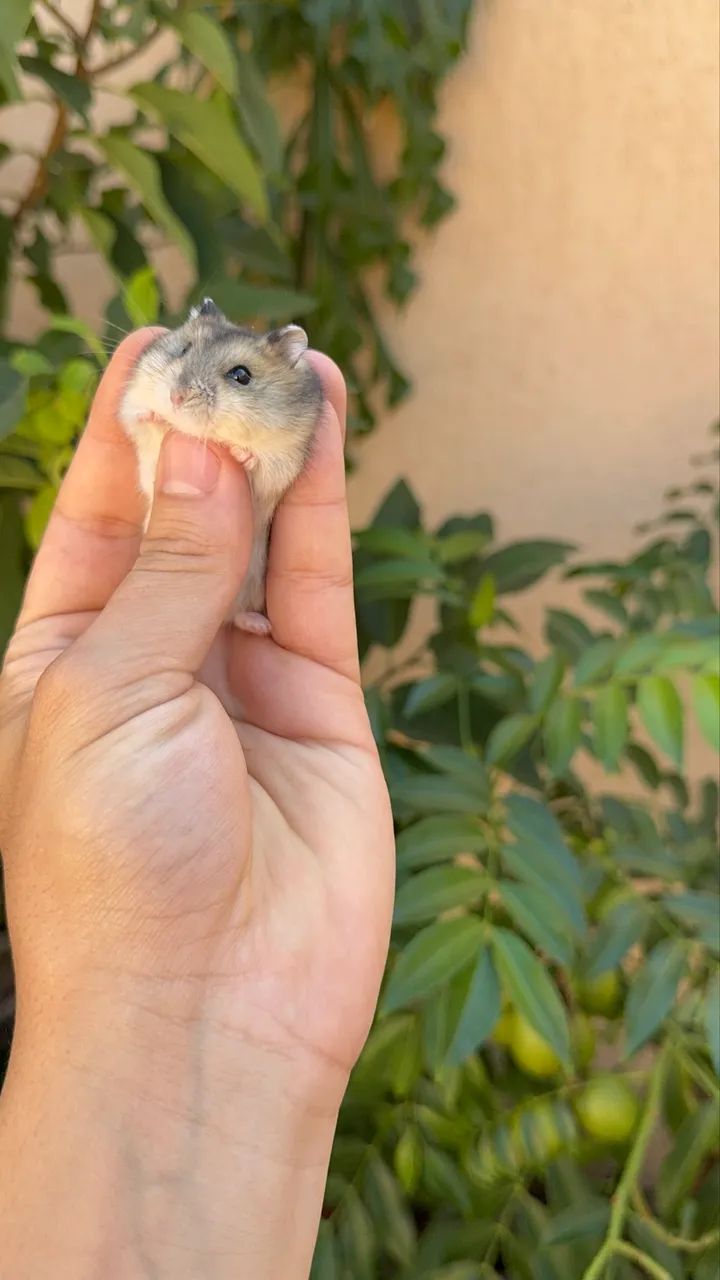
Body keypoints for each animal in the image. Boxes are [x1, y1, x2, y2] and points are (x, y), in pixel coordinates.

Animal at [119, 298, 323, 635]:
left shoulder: (283, 462)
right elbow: (143, 424)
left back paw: (260, 626)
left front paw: (240, 453)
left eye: (241, 375)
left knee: (239, 617)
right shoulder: (131, 416)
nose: (176, 397)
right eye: (184, 349)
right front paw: (157, 417)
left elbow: (261, 468)